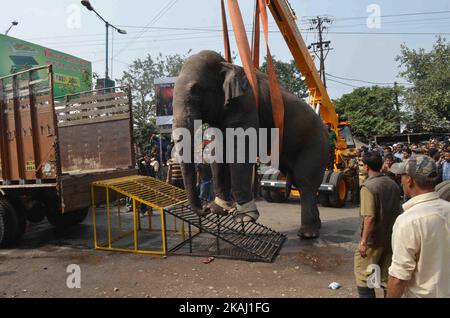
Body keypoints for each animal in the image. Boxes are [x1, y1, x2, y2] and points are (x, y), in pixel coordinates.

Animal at [171, 50, 326, 238]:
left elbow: (240, 150)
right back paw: (317, 227)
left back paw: (308, 233)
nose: (205, 209)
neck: (227, 64)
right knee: (300, 182)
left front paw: (245, 218)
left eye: (197, 90)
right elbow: (219, 150)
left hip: (315, 143)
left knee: (306, 183)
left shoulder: (245, 103)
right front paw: (219, 209)